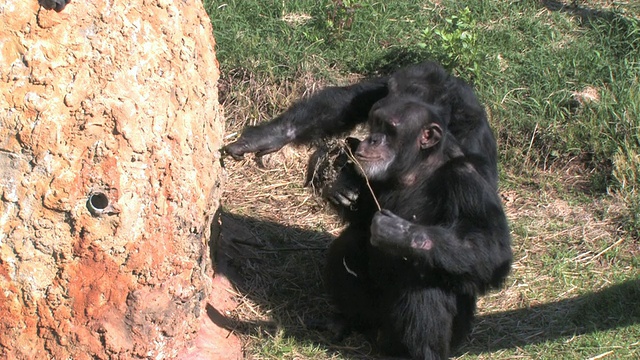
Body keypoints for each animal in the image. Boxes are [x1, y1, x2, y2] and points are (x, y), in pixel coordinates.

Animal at [222, 62, 512, 358]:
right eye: (377, 119)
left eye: (391, 129)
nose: (372, 138)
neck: (417, 165)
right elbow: (352, 98)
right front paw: (296, 150)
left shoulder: (467, 168)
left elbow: (490, 249)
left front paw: (398, 233)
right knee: (350, 245)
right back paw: (344, 321)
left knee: (425, 287)